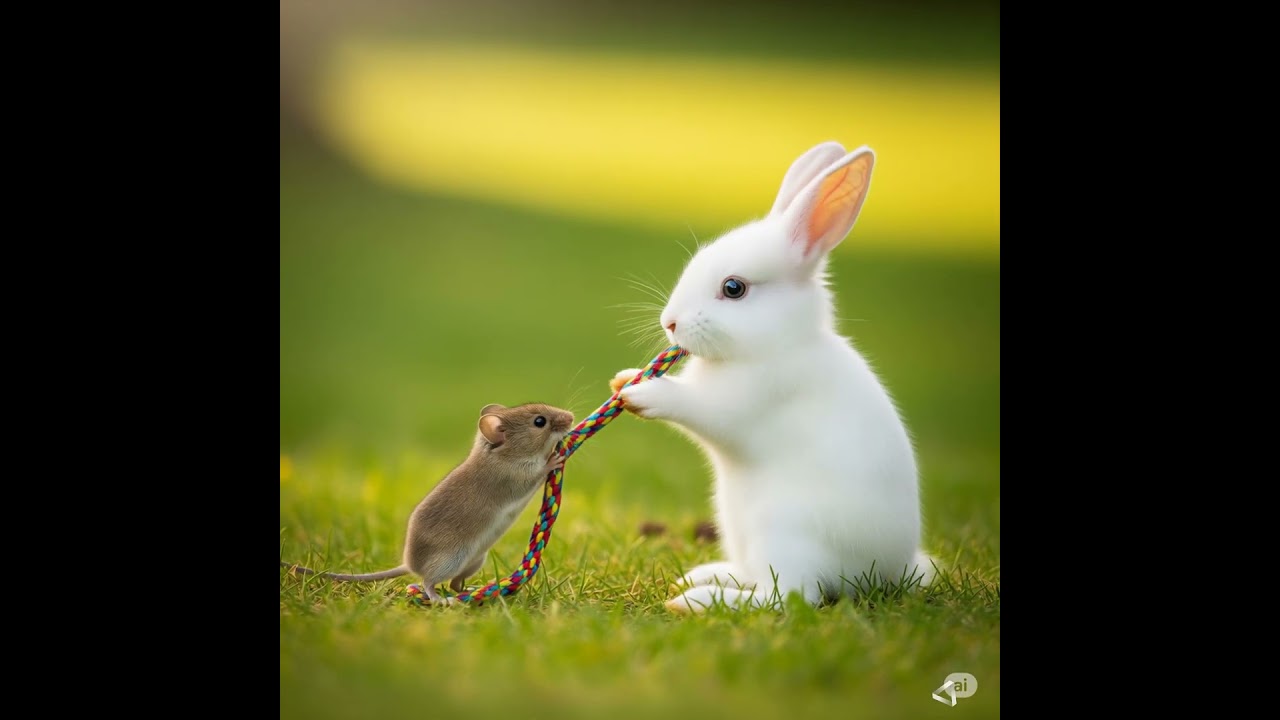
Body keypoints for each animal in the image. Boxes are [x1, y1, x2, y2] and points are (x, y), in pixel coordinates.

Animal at [610, 141, 938, 613]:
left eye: (734, 288)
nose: (670, 322)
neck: (776, 341)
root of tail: (890, 570)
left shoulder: (741, 402)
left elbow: (695, 407)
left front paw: (642, 393)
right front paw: (625, 378)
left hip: (784, 535)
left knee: (789, 597)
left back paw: (697, 599)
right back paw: (703, 575)